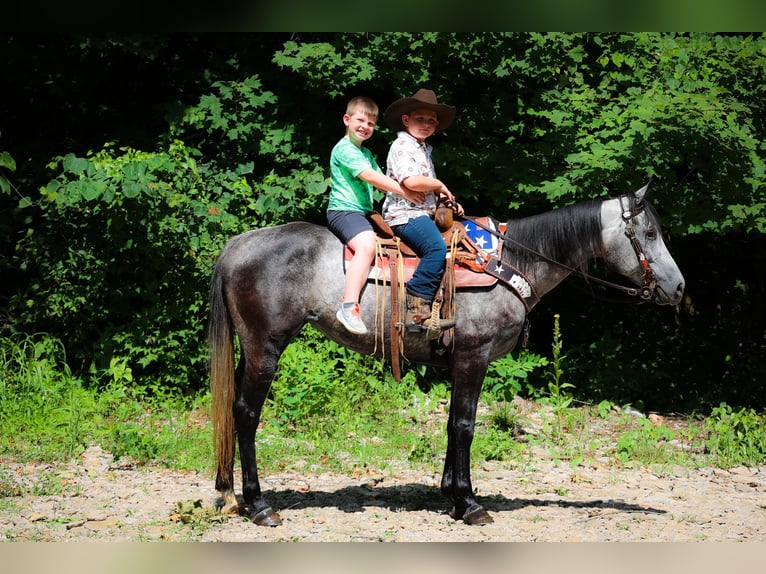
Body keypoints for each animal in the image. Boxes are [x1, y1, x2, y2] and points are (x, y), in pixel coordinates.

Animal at [208, 184, 685, 526]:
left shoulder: (460, 362)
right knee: (247, 413)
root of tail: (238, 245)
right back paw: (259, 505)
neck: (511, 262)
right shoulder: (475, 356)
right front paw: (469, 503)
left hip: (249, 350)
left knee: (232, 408)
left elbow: (453, 424)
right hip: (266, 347)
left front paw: (452, 495)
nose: (679, 288)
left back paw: (227, 493)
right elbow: (465, 425)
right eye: (648, 233)